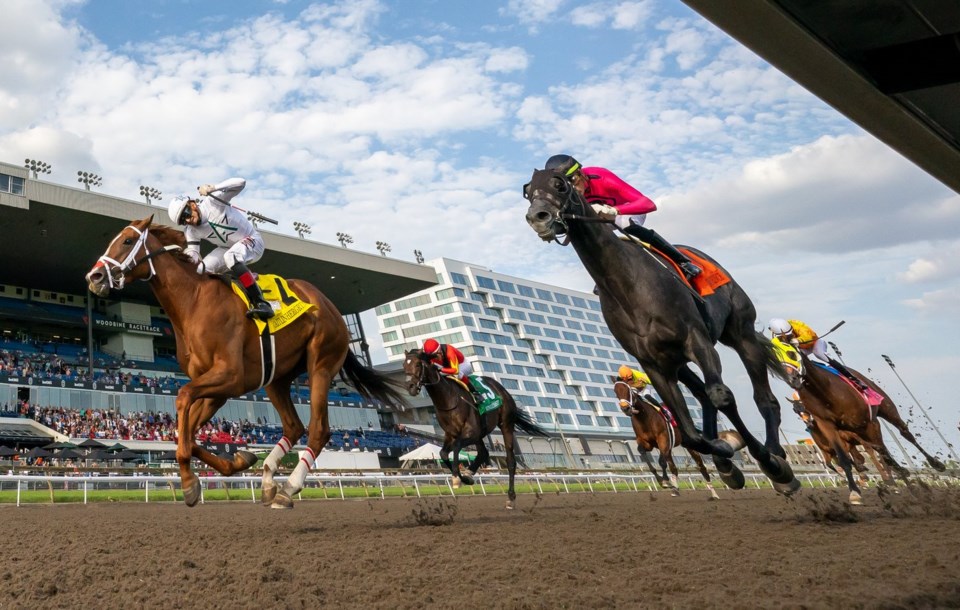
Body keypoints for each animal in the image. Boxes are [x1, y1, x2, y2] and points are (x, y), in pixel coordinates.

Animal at [83, 216, 408, 506]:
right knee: (294, 427)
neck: (194, 302)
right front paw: (239, 460)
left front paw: (188, 482)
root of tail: (334, 309)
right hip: (276, 379)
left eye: (127, 241)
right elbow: (188, 434)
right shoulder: (216, 388)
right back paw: (267, 479)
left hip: (321, 364)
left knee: (319, 429)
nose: (93, 278)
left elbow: (183, 401)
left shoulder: (230, 376)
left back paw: (288, 488)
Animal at [400, 346, 548, 508]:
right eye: (404, 366)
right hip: (480, 434)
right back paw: (470, 473)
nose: (410, 387)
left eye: (418, 365)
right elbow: (443, 453)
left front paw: (457, 478)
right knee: (483, 452)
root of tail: (501, 388)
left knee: (510, 461)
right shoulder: (450, 434)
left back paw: (511, 497)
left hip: (505, 425)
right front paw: (463, 477)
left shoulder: (469, 432)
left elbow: (457, 447)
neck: (448, 399)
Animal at [520, 167, 800, 494]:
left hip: (740, 332)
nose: (538, 217)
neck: (629, 285)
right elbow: (691, 434)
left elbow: (721, 397)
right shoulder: (652, 363)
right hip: (677, 361)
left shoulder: (697, 340)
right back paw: (726, 460)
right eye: (528, 191)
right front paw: (725, 452)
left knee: (762, 398)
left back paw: (776, 456)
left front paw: (767, 462)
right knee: (702, 396)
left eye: (560, 184)